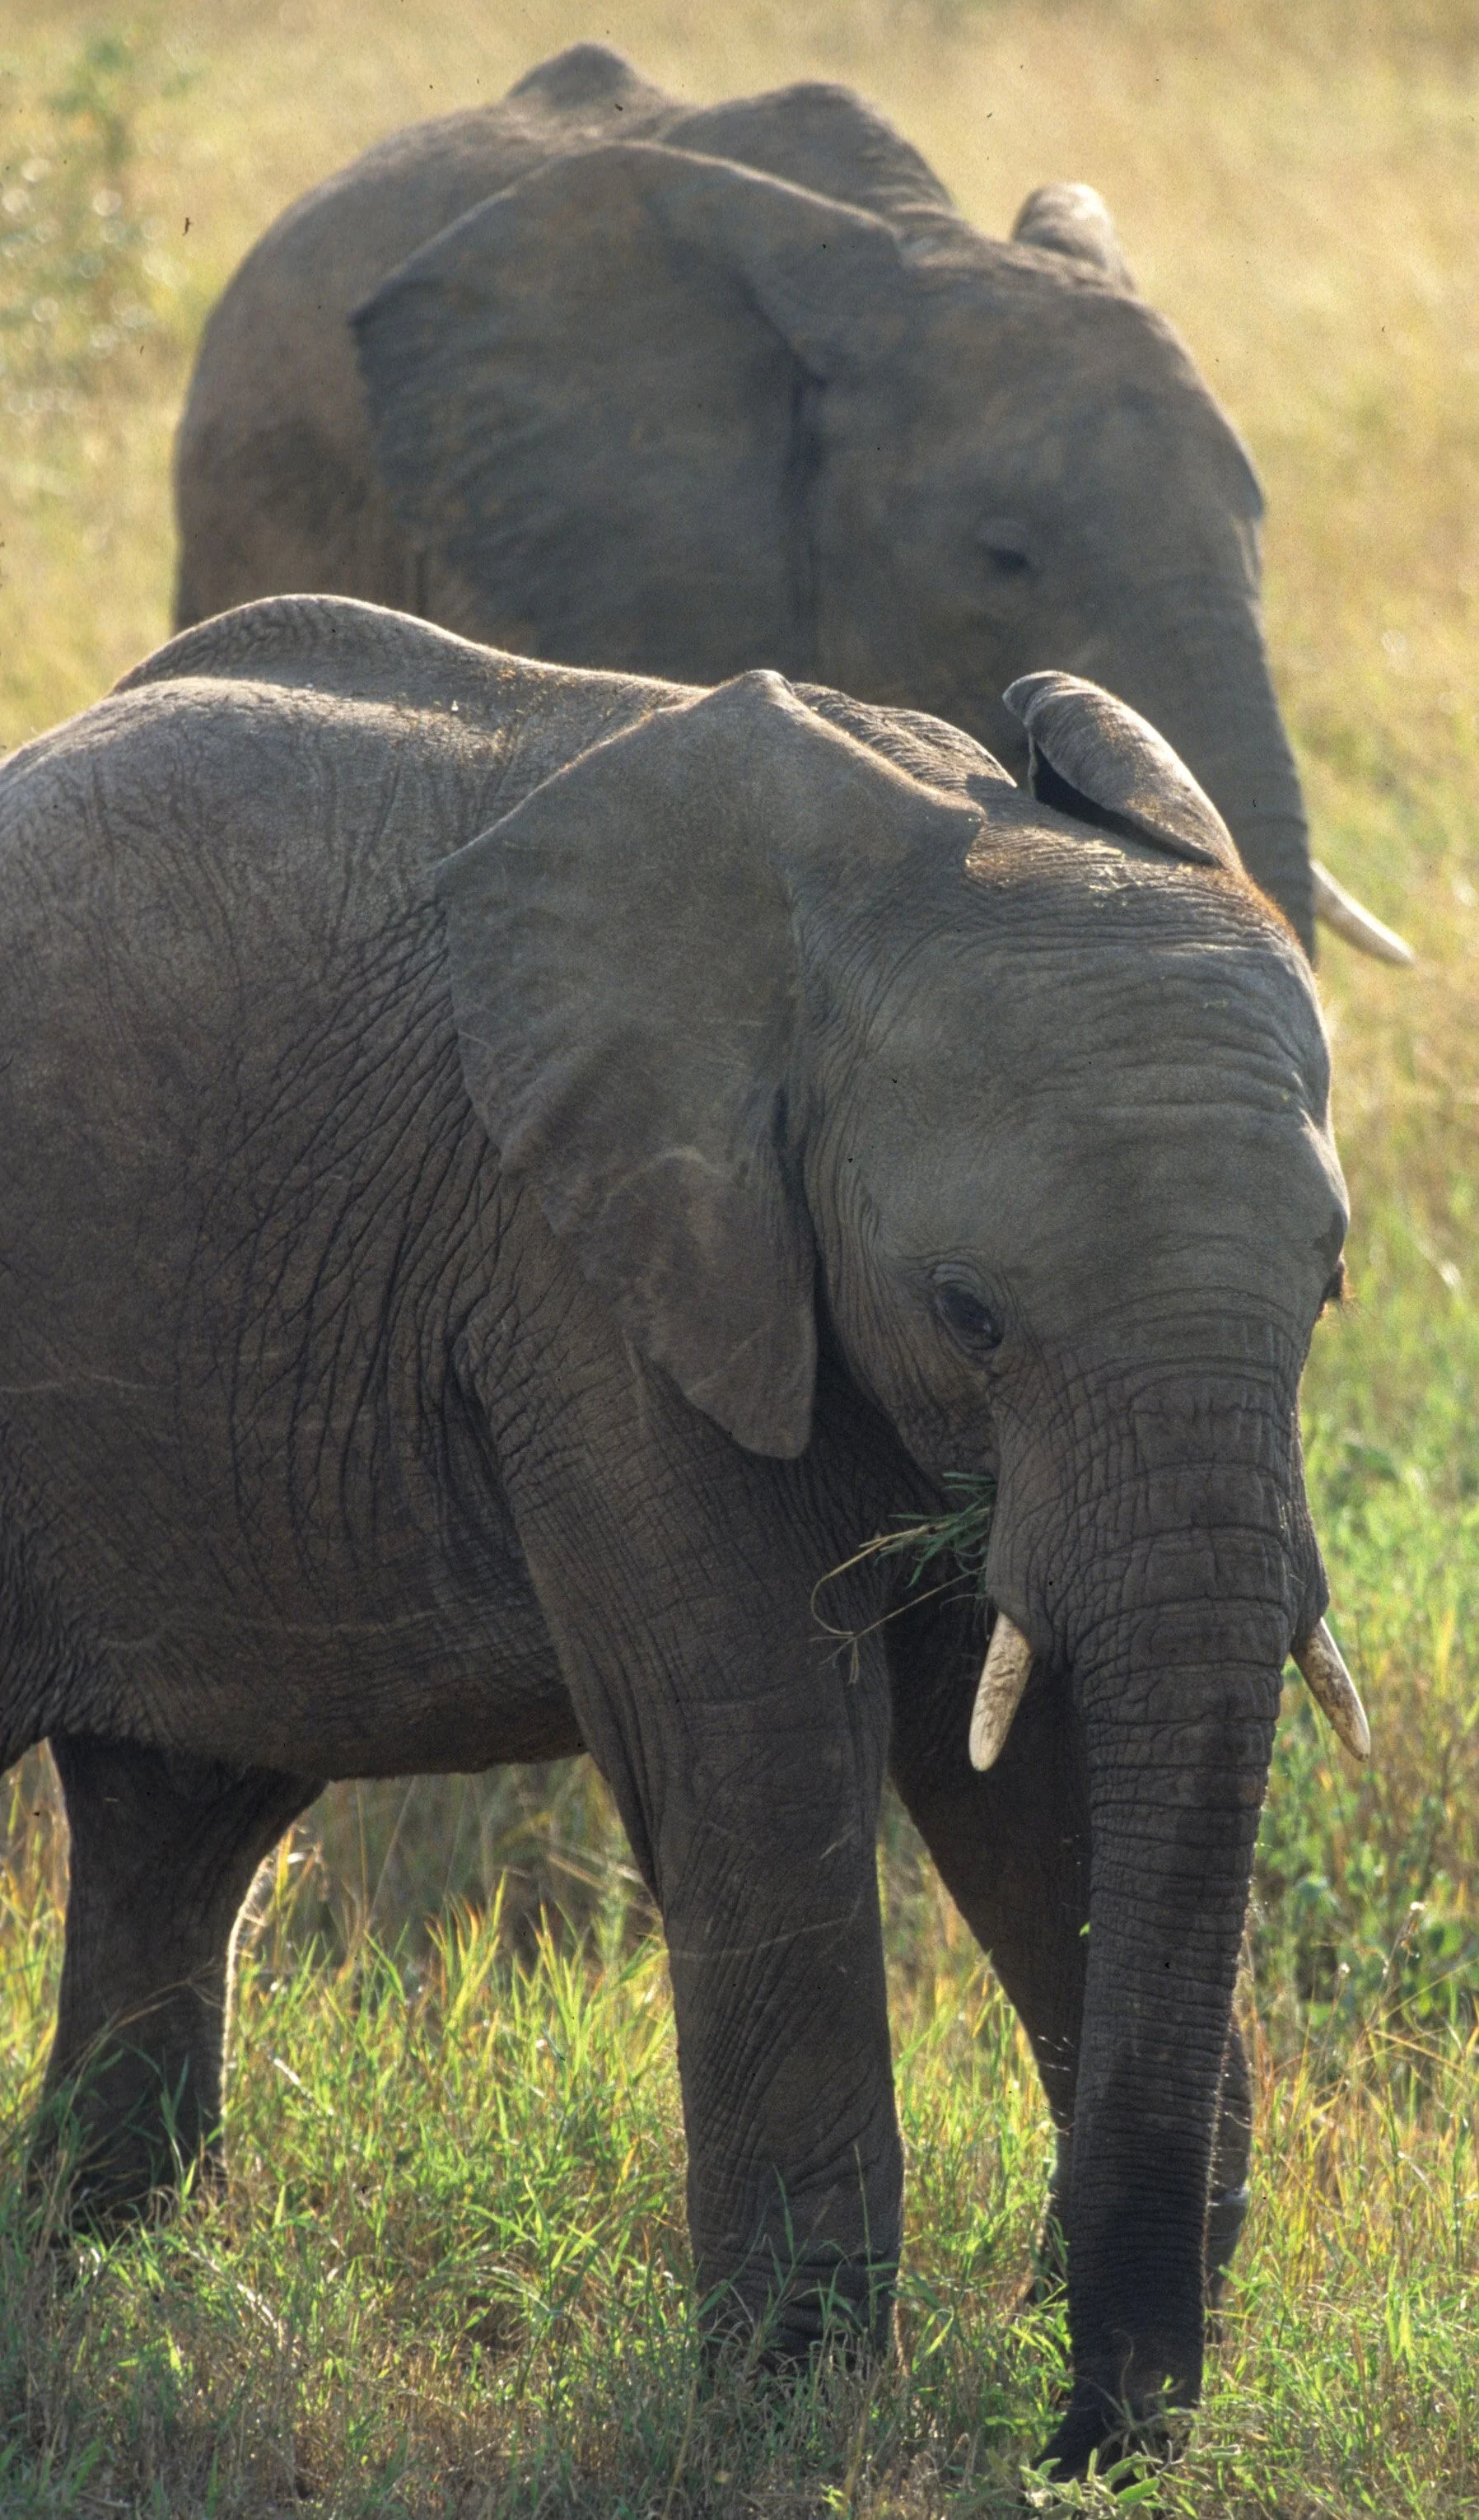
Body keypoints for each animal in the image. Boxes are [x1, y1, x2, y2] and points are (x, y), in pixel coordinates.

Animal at [0, 592, 1367, 2477]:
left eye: (1330, 1284)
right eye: (972, 1313)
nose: (1085, 2439)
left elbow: (1037, 1760)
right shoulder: (582, 1268)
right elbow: (759, 1739)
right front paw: (792, 2415)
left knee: (179, 1814)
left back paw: (91, 2263)